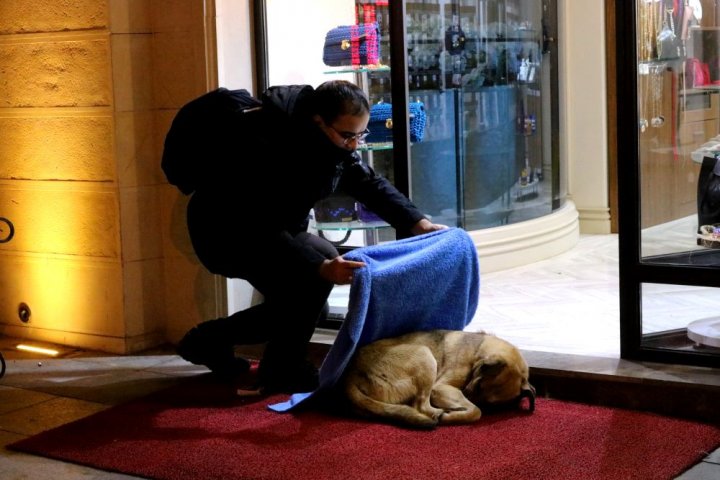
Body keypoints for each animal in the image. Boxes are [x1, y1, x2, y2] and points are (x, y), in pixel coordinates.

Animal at [342, 330, 536, 428]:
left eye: (492, 404)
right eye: (479, 385)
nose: (466, 394)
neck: (477, 352)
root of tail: (351, 374)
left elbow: (475, 408)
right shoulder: (441, 388)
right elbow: (476, 411)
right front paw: (454, 414)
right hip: (425, 356)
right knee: (421, 406)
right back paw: (440, 414)